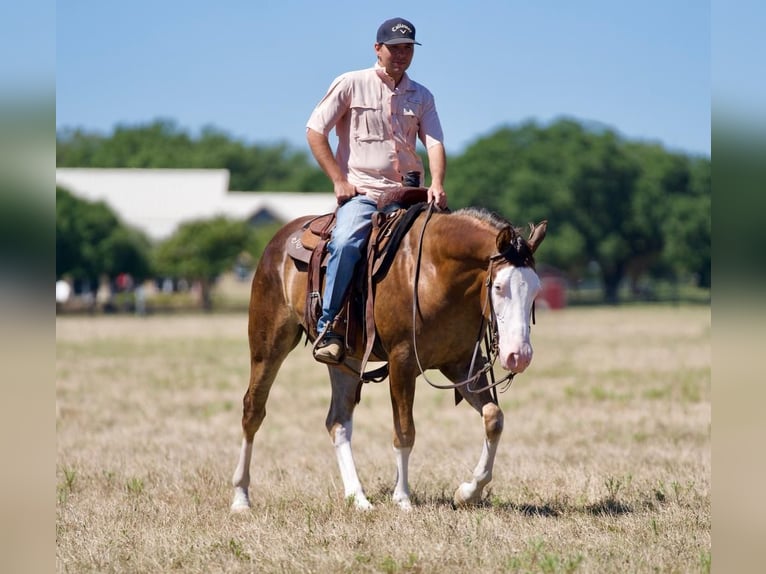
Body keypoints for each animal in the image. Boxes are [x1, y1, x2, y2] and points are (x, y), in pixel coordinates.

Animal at [231, 205, 548, 510]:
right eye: (499, 287)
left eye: (536, 289)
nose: (519, 356)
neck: (435, 273)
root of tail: (279, 240)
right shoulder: (402, 362)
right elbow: (405, 431)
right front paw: (403, 498)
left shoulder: (459, 364)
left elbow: (494, 418)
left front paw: (467, 493)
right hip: (268, 344)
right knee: (253, 410)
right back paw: (241, 497)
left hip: (346, 360)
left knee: (338, 421)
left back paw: (358, 498)